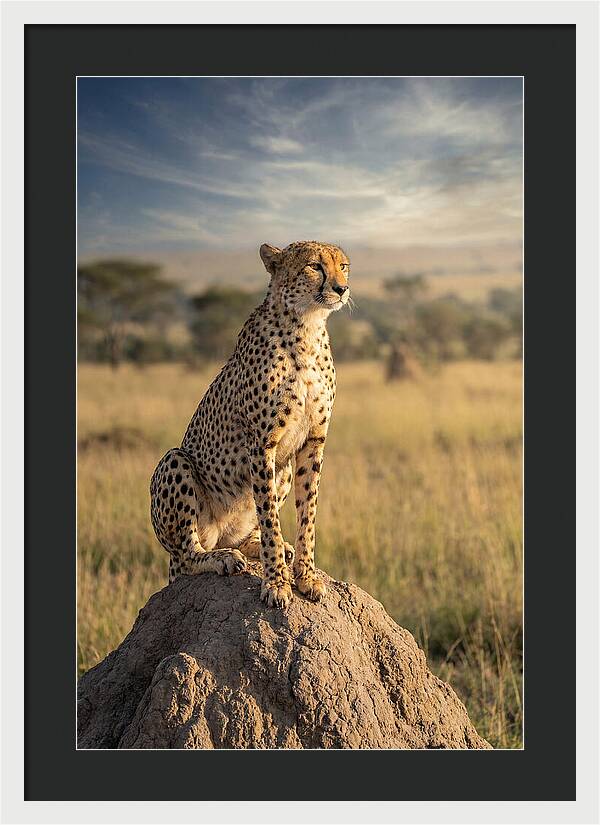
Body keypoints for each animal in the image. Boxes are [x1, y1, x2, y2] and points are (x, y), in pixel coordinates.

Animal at [150, 240, 350, 608]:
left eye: (343, 266)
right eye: (315, 266)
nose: (341, 289)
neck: (307, 326)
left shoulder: (313, 441)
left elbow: (308, 513)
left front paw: (306, 576)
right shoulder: (261, 444)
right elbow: (270, 515)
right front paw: (276, 583)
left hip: (283, 469)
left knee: (245, 532)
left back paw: (259, 547)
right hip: (175, 463)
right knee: (187, 554)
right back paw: (222, 558)